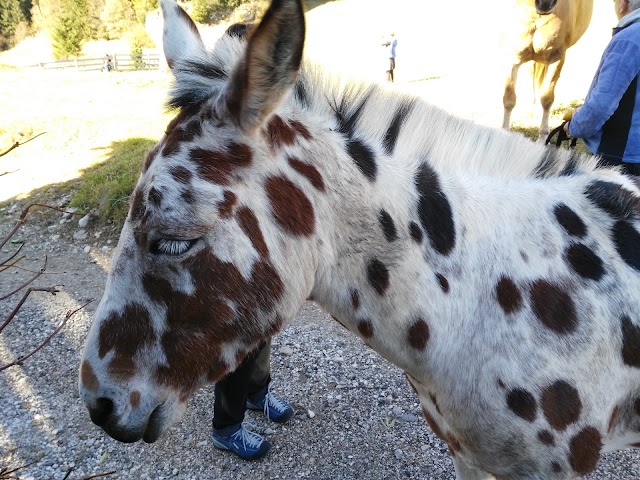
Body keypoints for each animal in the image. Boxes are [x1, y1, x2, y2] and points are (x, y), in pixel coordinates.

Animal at [502, 0, 592, 138]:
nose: (546, 3)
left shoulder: (556, 59)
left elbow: (546, 98)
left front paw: (543, 137)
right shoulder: (514, 58)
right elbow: (509, 98)